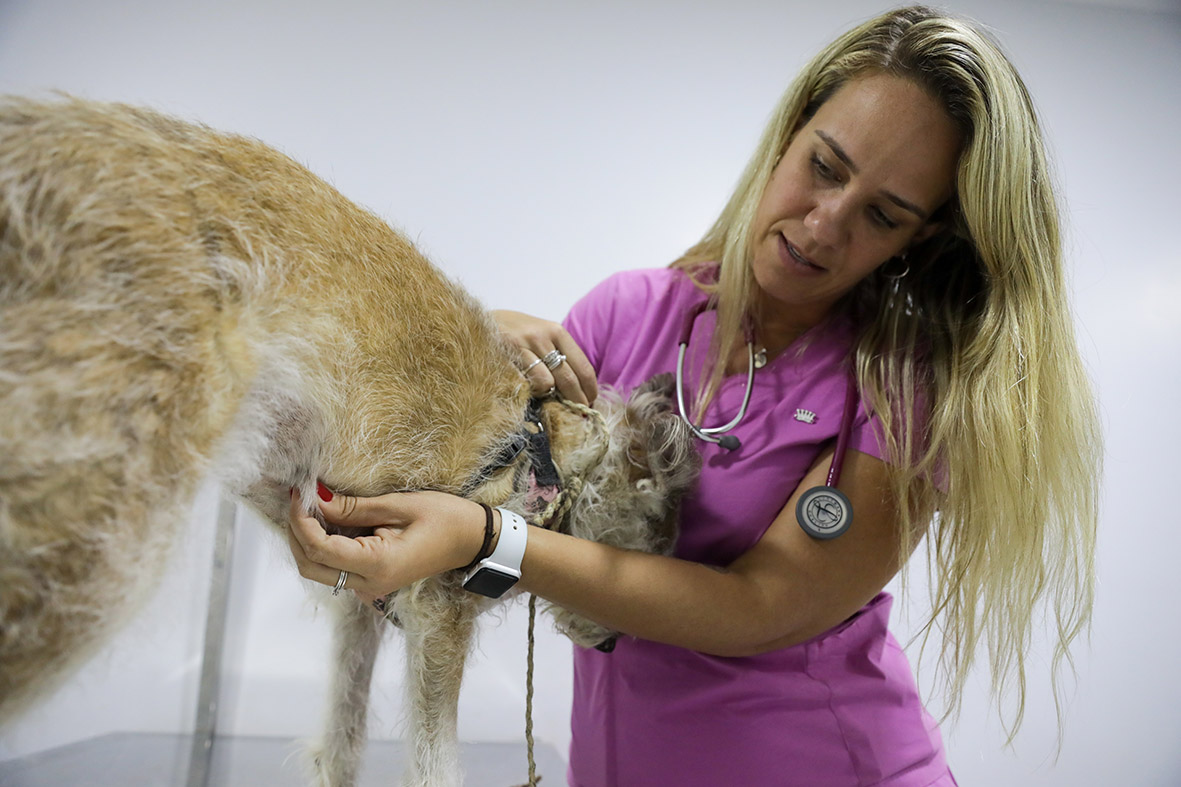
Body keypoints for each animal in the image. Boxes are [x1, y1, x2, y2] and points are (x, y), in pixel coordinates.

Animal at [0, 99, 699, 784]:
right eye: (653, 540)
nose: (612, 646)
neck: (546, 449)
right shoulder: (439, 620)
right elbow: (434, 765)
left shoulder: (363, 602)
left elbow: (342, 739)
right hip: (91, 545)